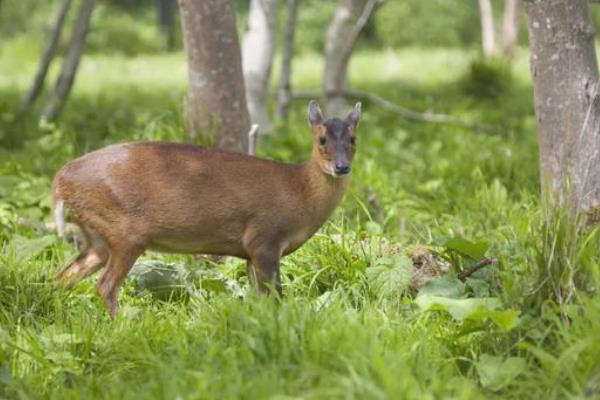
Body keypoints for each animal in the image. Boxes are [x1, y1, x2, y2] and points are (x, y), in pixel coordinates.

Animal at [52, 101, 360, 318]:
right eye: (321, 140)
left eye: (353, 139)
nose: (342, 167)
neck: (300, 193)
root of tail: (60, 179)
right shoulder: (264, 239)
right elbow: (275, 297)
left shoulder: (249, 252)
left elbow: (259, 300)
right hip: (126, 232)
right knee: (104, 286)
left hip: (97, 236)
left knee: (62, 277)